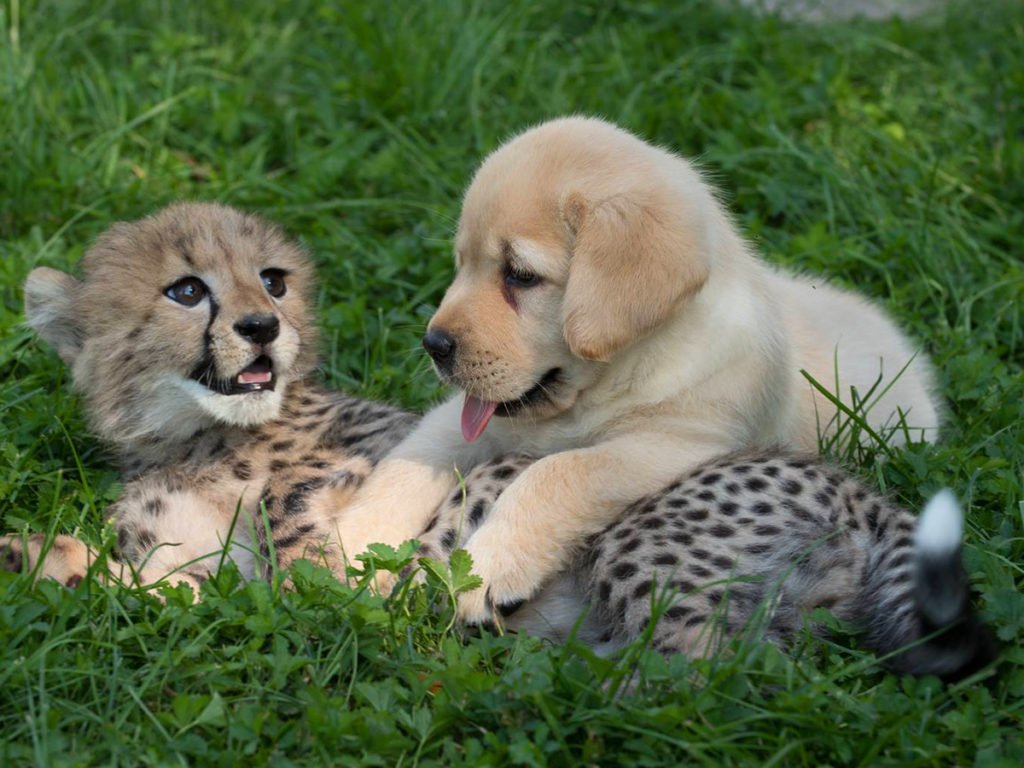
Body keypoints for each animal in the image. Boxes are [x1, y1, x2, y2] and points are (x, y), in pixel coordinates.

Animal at [339, 118, 937, 626]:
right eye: (461, 263)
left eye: (521, 275)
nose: (433, 345)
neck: (610, 380)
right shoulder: (476, 418)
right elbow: (411, 460)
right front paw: (350, 541)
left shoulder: (676, 445)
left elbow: (559, 473)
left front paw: (490, 565)